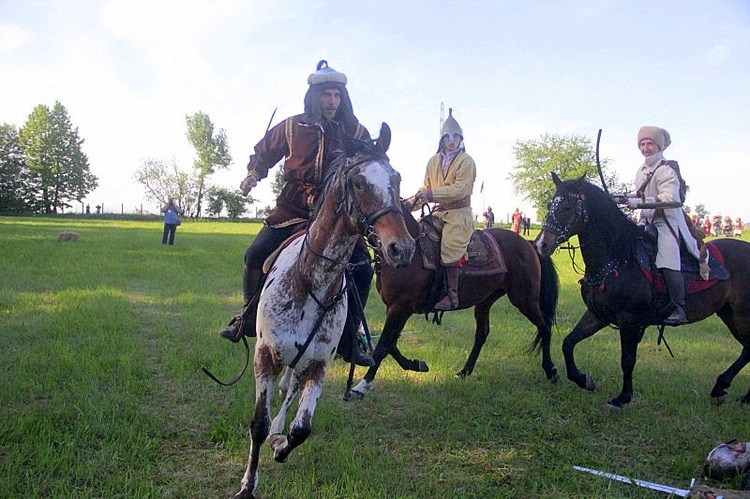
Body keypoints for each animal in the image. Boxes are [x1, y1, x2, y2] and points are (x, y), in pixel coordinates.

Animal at [236, 123, 418, 498]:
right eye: (359, 182)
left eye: (396, 179)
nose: (402, 248)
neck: (311, 281)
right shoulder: (265, 356)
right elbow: (258, 423)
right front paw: (247, 485)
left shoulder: (318, 364)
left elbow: (301, 429)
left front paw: (281, 443)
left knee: (291, 390)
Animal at [536, 174, 750, 408]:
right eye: (550, 204)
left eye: (567, 206)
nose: (541, 245)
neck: (617, 259)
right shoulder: (597, 315)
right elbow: (568, 343)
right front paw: (583, 380)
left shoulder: (629, 321)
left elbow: (627, 360)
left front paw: (622, 398)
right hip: (729, 315)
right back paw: (730, 391)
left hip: (741, 316)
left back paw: (727, 388)